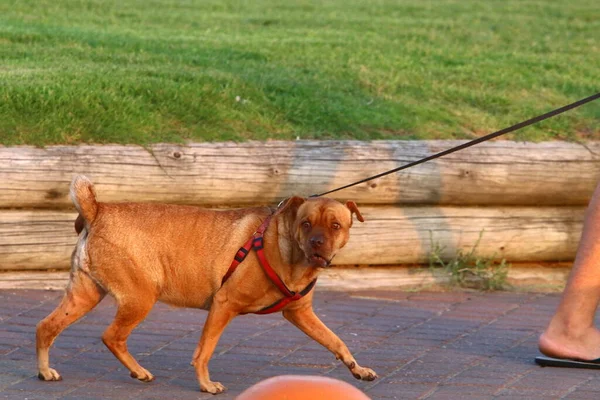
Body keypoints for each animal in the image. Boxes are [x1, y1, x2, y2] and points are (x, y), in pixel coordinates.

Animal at [35, 176, 378, 394]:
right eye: (306, 224)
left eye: (336, 225)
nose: (317, 243)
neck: (285, 248)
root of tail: (97, 210)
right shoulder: (223, 305)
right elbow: (204, 351)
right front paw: (205, 384)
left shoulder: (300, 313)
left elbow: (335, 341)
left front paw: (357, 369)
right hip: (140, 297)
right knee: (112, 336)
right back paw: (138, 371)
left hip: (84, 295)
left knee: (46, 327)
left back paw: (45, 371)